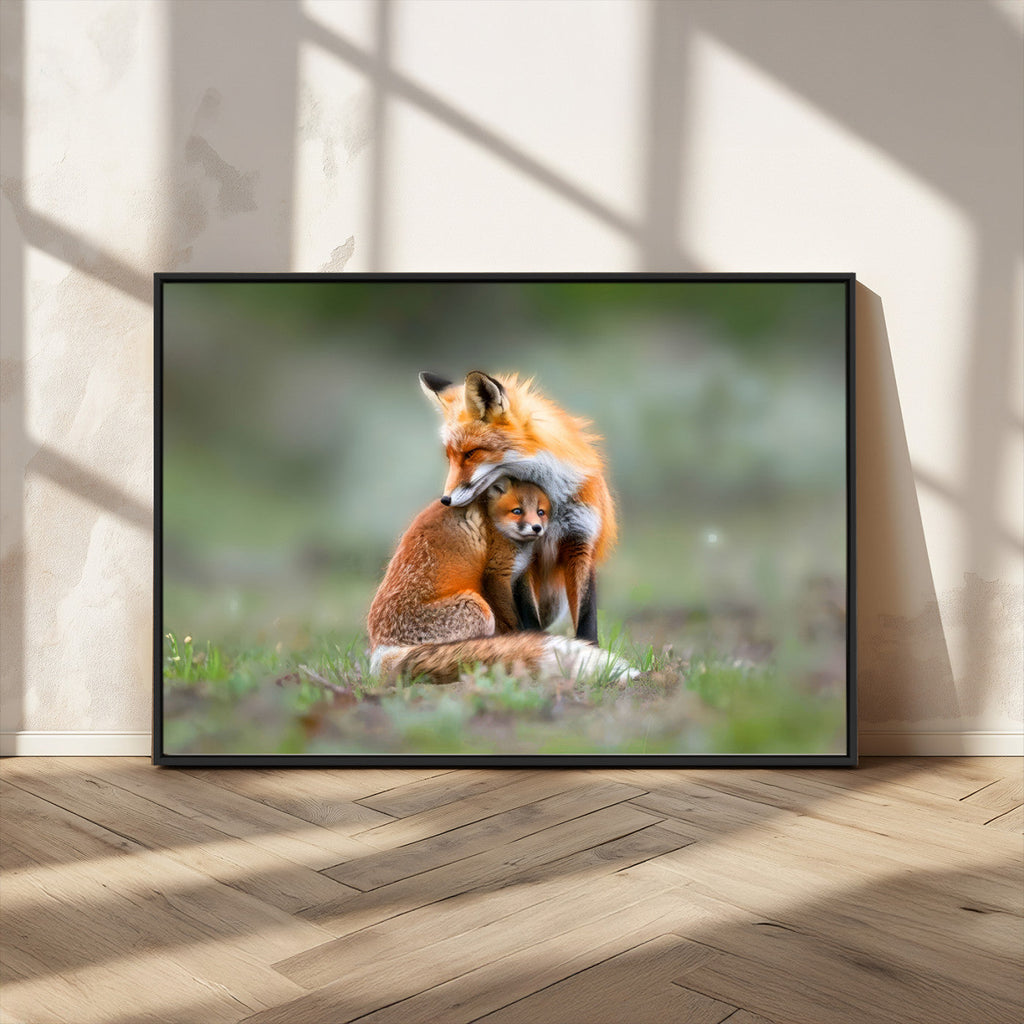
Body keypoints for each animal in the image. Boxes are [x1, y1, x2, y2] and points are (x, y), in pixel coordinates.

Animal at [368, 477, 630, 684]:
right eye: (517, 511)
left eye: (541, 511)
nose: (536, 528)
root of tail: (381, 649)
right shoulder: (497, 574)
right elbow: (513, 620)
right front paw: (524, 641)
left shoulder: (520, 575)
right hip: (477, 608)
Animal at [419, 370, 616, 645]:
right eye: (450, 457)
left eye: (471, 453)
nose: (445, 500)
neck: (551, 503)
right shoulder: (523, 556)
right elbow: (528, 615)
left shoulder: (580, 542)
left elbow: (587, 617)